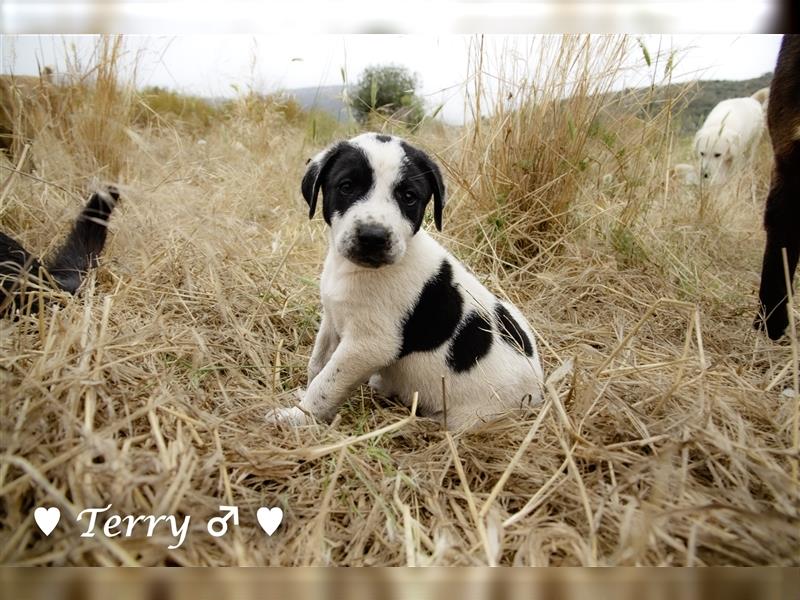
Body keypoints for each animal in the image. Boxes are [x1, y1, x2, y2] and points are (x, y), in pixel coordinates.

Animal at [268, 133, 544, 428]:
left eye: (409, 197)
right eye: (346, 186)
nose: (373, 237)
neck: (359, 271)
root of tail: (538, 392)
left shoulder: (368, 345)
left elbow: (327, 383)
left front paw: (297, 417)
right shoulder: (332, 319)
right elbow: (318, 364)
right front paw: (301, 401)